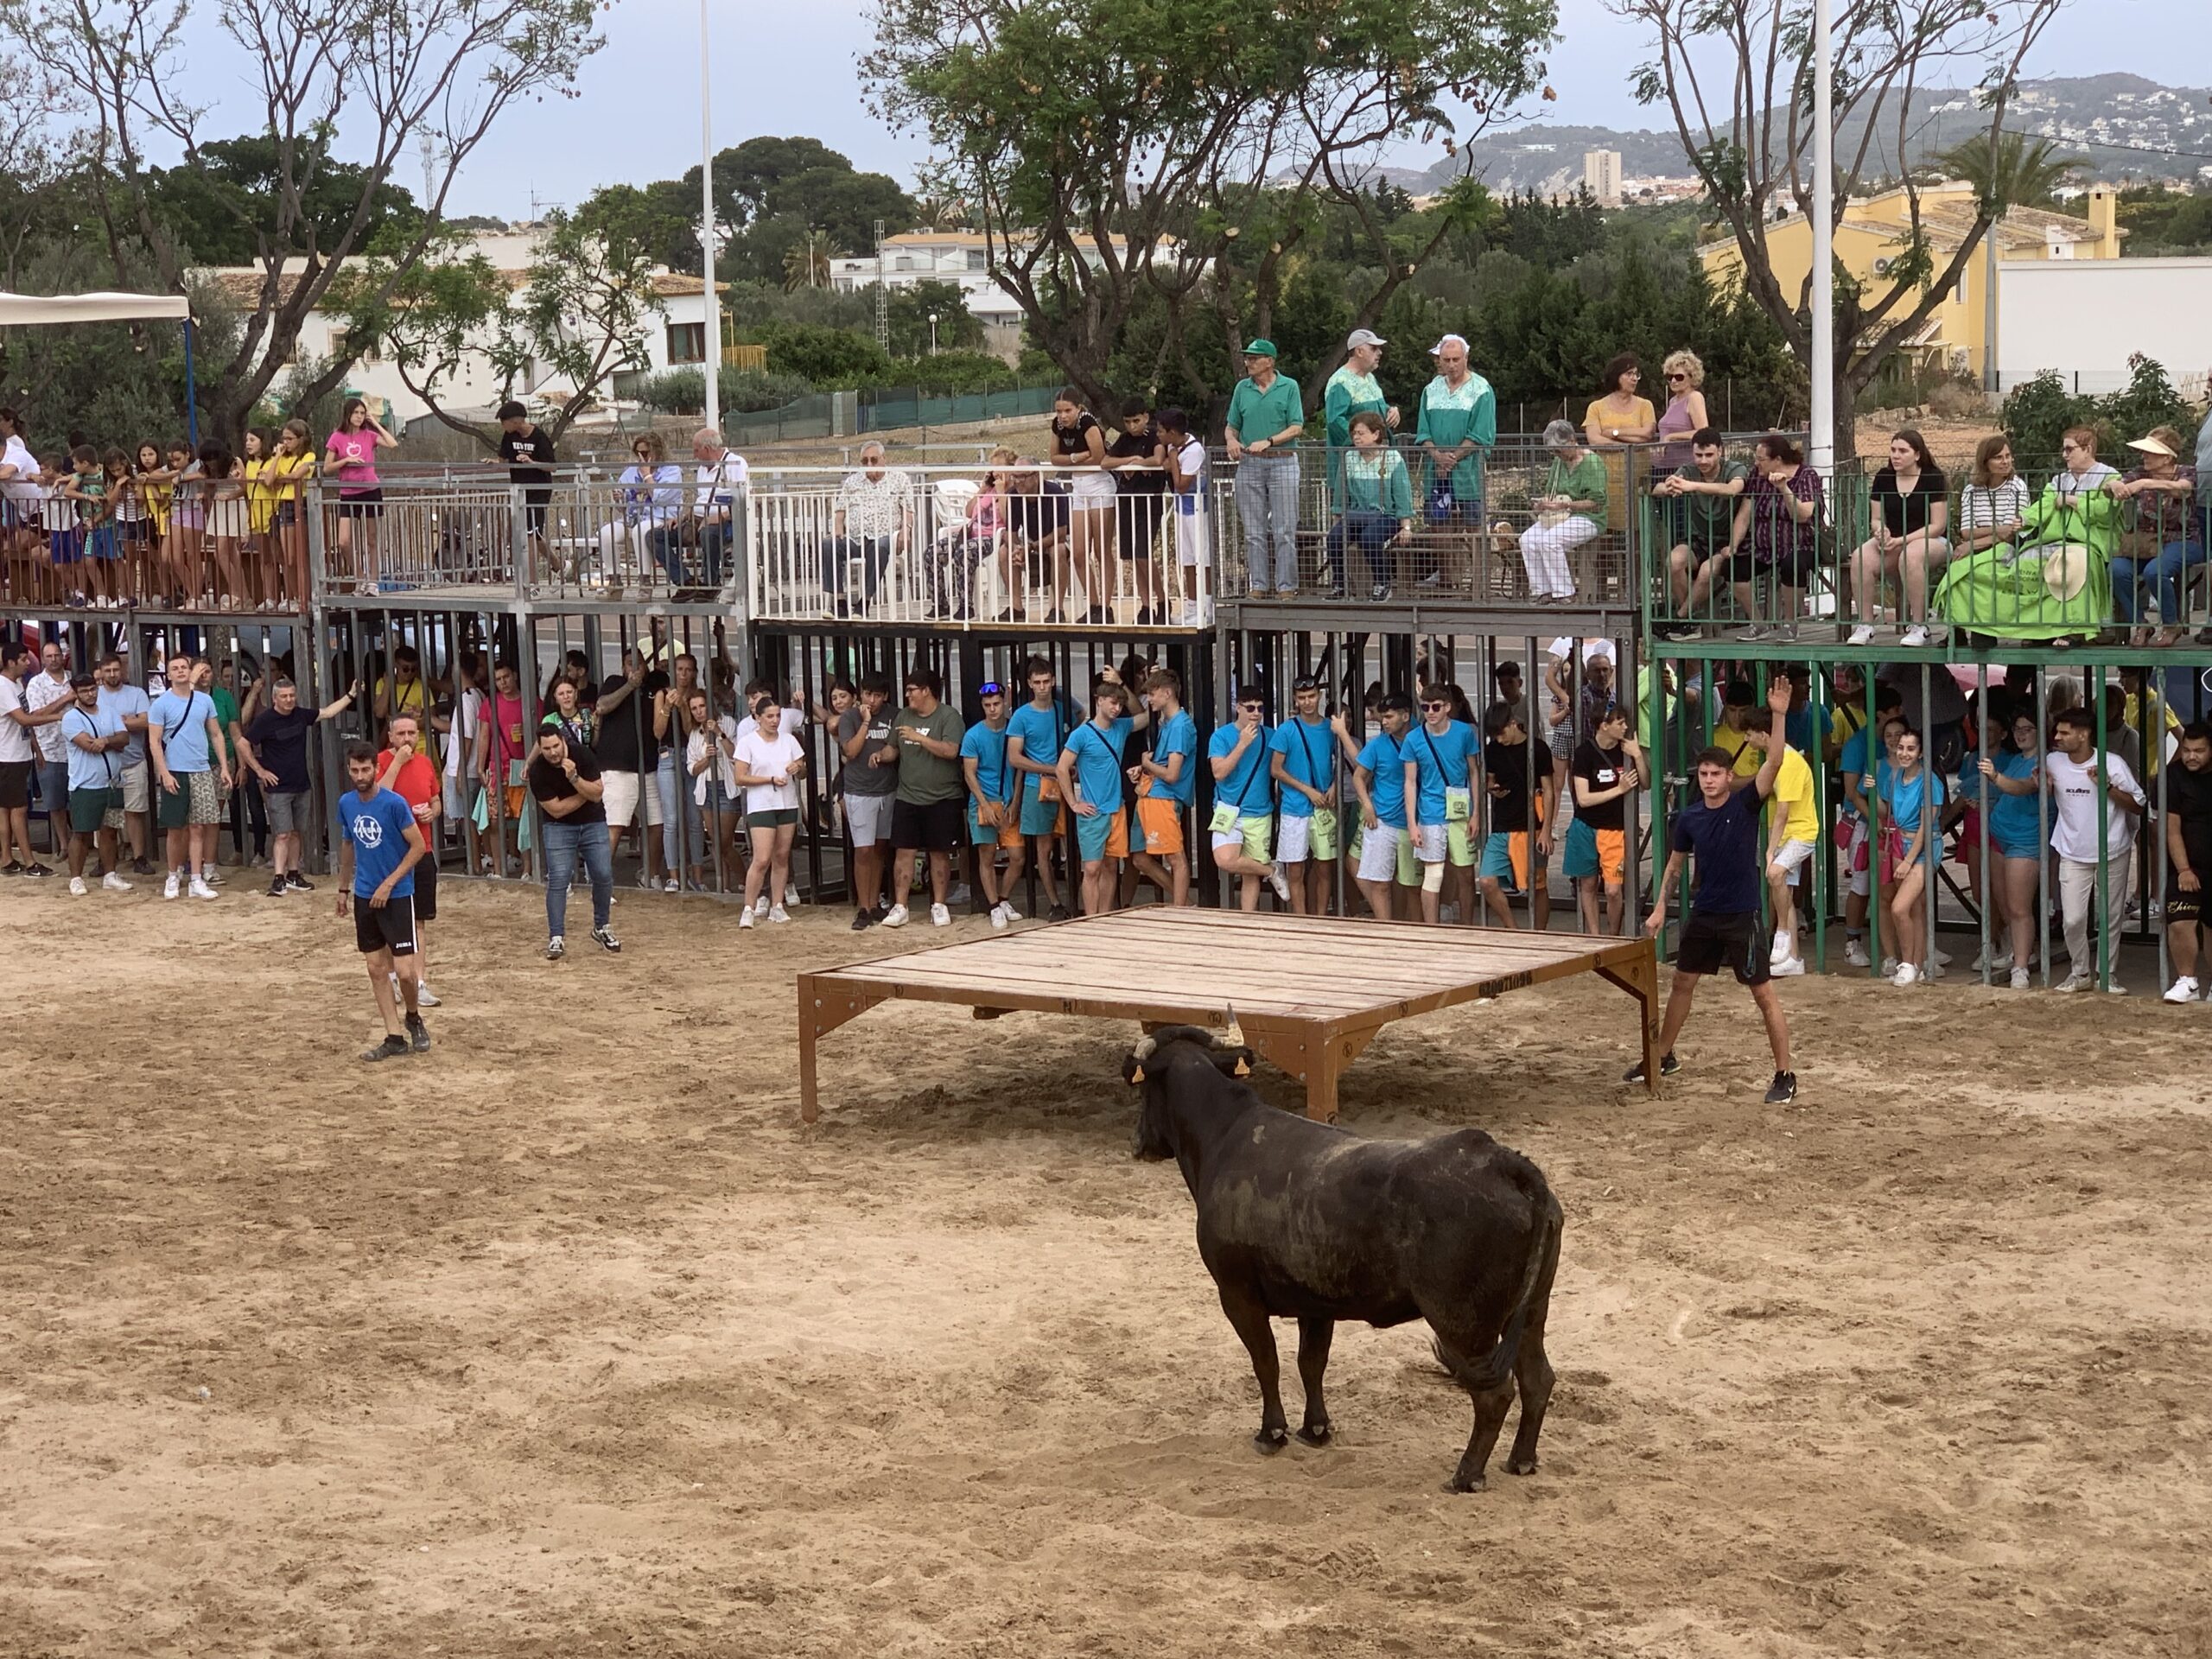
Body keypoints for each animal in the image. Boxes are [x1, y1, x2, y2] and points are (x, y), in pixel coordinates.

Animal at [1132, 1026, 1566, 1495]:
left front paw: (1272, 1432)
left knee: (1494, 1394)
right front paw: (1315, 1429)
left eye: (1142, 1090)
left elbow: (1267, 1361)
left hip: (1464, 1326)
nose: (1138, 1144)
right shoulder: (1316, 1302)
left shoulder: (1237, 1295)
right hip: (1531, 1311)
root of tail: (1505, 1163)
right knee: (1537, 1377)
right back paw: (1521, 1460)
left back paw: (1467, 1474)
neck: (1226, 1138)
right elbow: (1310, 1363)